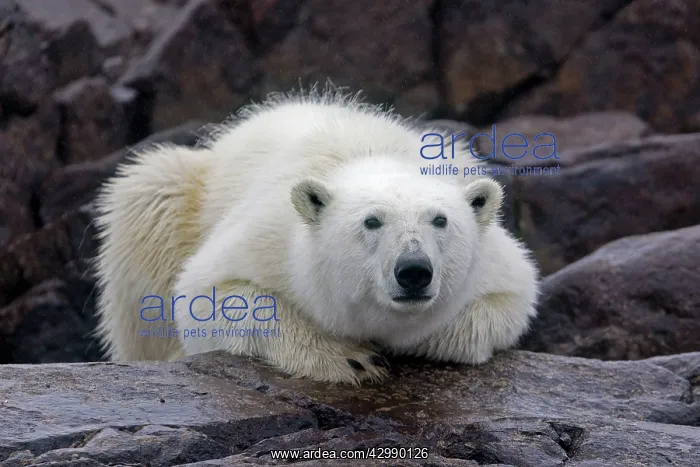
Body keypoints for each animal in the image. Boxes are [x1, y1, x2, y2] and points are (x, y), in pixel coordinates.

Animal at [93, 86, 539, 386]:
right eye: (371, 221)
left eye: (440, 220)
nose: (413, 270)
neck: (368, 155)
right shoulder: (272, 235)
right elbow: (208, 296)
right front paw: (352, 359)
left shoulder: (495, 263)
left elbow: (506, 302)